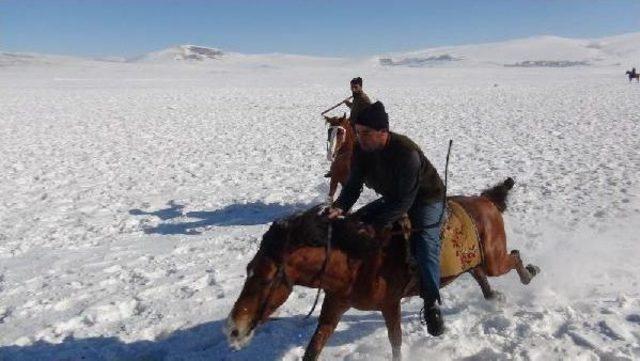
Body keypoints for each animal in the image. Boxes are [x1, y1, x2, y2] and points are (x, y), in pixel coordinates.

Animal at [226, 178, 540, 360]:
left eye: (266, 278)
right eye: (248, 270)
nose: (233, 328)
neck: (359, 260)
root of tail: (485, 199)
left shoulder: (390, 305)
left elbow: (396, 343)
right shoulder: (334, 307)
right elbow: (313, 349)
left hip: (494, 258)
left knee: (512, 257)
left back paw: (529, 274)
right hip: (475, 261)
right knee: (478, 273)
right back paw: (494, 297)